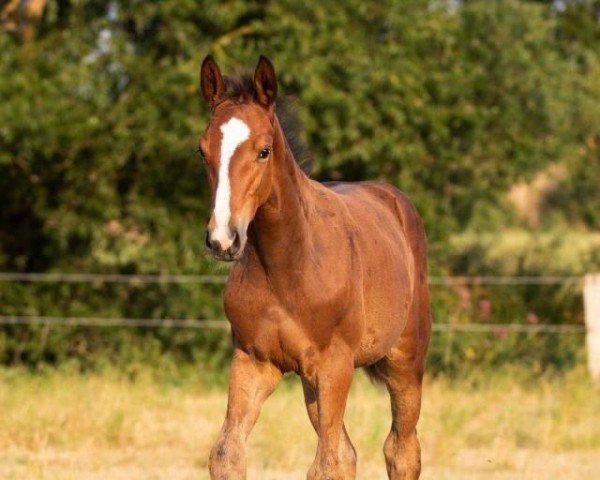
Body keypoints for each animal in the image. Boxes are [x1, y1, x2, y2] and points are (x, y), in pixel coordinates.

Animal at [202, 55, 432, 480]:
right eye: (202, 151)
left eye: (264, 151)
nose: (223, 239)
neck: (287, 268)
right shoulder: (253, 360)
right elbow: (227, 454)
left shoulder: (334, 364)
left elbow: (325, 464)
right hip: (312, 382)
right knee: (348, 452)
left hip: (404, 360)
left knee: (401, 450)